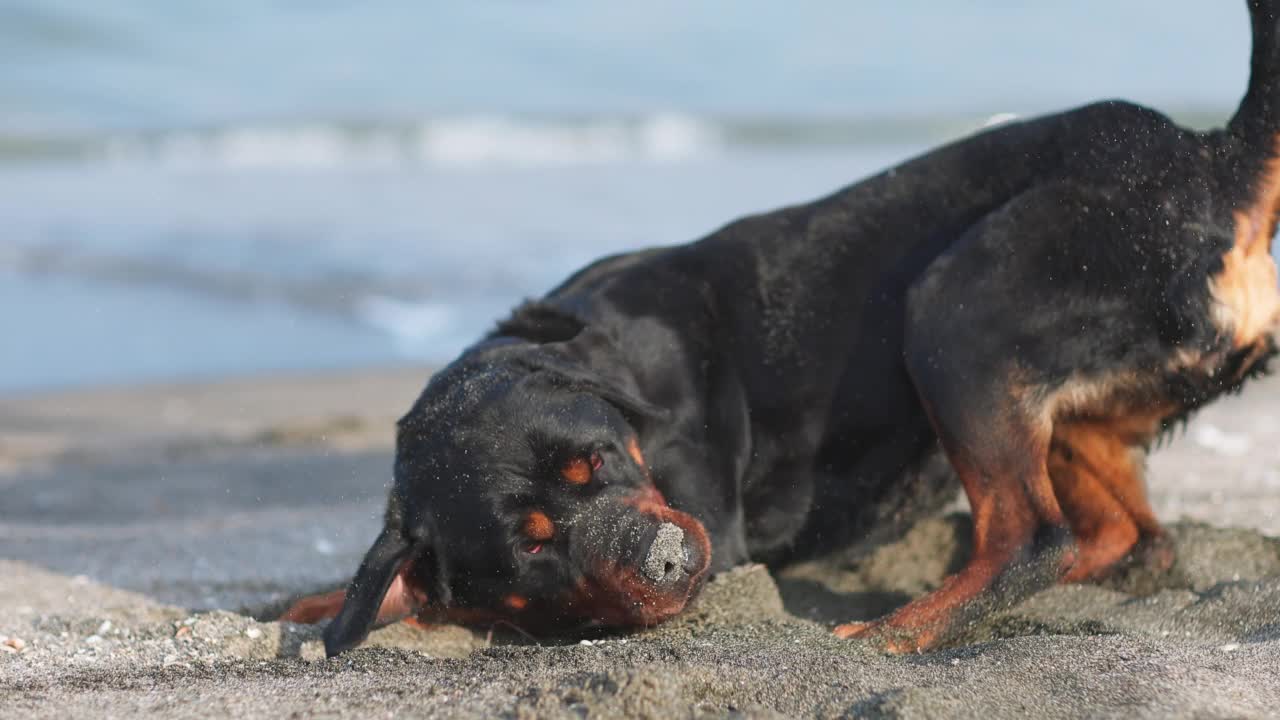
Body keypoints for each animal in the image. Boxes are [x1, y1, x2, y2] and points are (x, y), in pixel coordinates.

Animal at [285, 2, 1280, 655]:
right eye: (533, 544)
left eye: (597, 464)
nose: (664, 558)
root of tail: (1210, 159)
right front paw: (318, 605)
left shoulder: (711, 523)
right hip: (1066, 398)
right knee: (1124, 535)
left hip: (956, 306)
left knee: (1031, 536)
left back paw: (889, 633)